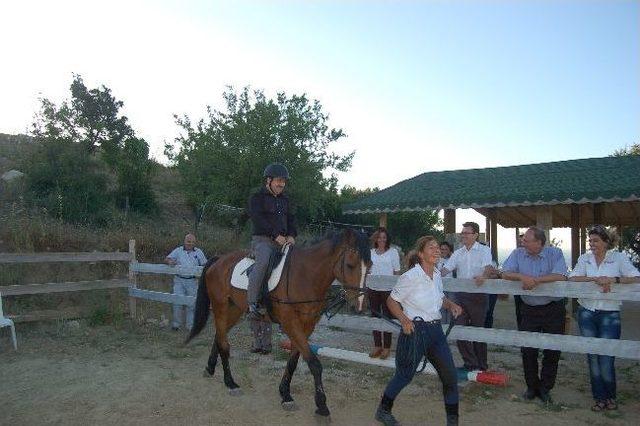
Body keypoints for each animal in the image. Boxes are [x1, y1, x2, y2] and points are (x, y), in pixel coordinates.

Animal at [184, 228, 370, 418]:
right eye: (350, 265)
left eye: (369, 266)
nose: (359, 306)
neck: (305, 276)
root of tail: (219, 259)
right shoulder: (290, 324)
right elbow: (314, 363)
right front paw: (321, 405)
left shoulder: (307, 326)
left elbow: (294, 361)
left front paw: (285, 393)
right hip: (220, 307)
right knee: (223, 342)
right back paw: (230, 383)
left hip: (235, 309)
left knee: (219, 335)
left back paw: (210, 368)